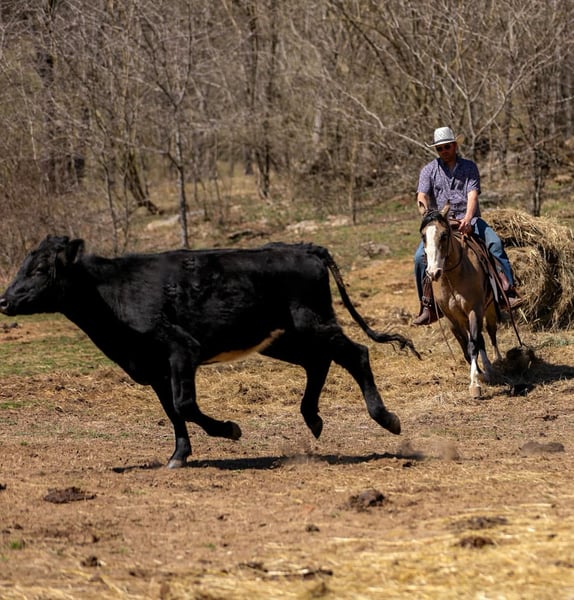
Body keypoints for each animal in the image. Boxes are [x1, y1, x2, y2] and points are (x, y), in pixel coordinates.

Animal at [0, 236, 419, 468]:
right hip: (282, 337)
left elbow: (185, 404)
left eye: (40, 269)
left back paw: (387, 418)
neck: (113, 292)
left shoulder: (181, 350)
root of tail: (303, 249)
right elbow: (173, 411)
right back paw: (313, 418)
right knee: (318, 362)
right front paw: (178, 455)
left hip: (312, 322)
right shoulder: (154, 369)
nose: (4, 300)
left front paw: (229, 429)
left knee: (356, 354)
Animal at [419, 203, 502, 398]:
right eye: (423, 236)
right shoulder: (452, 318)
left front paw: (475, 384)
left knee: (490, 332)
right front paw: (478, 374)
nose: (433, 273)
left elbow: (473, 344)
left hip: (489, 309)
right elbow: (465, 347)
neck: (452, 276)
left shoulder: (475, 310)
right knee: (479, 338)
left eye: (444, 235)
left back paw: (495, 362)